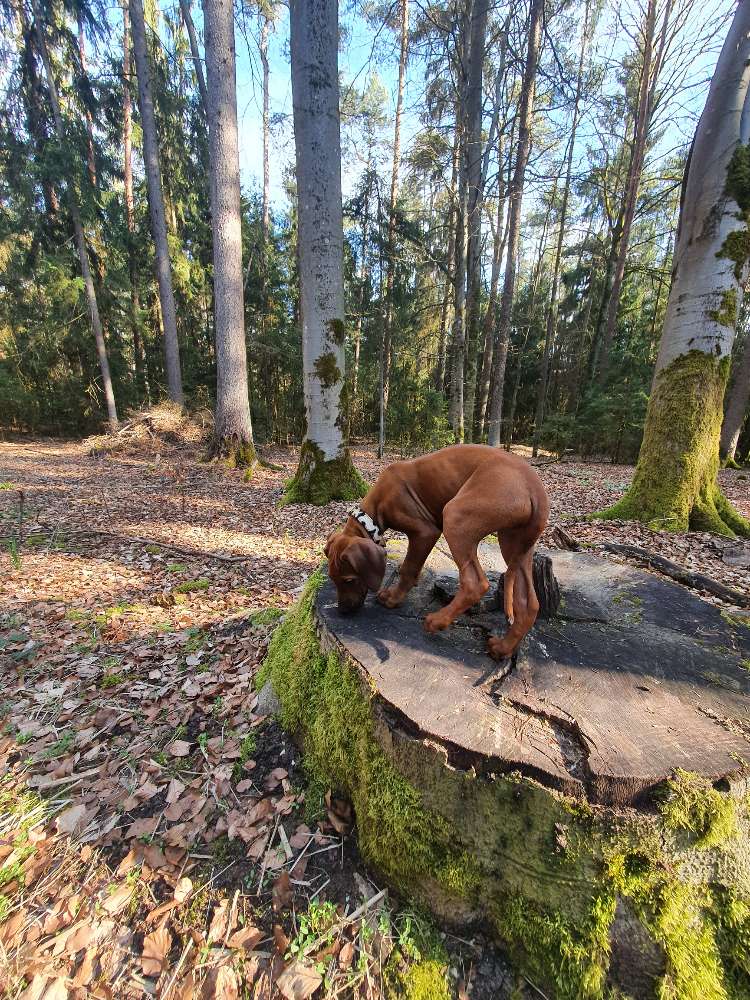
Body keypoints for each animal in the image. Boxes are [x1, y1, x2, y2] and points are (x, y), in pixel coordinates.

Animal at [324, 444, 552, 660]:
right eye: (333, 579)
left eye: (349, 580)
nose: (342, 611)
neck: (373, 512)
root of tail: (536, 489)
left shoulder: (425, 532)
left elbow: (409, 567)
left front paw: (394, 598)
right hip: (514, 543)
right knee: (529, 603)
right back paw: (503, 648)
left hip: (456, 516)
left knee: (475, 583)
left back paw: (437, 621)